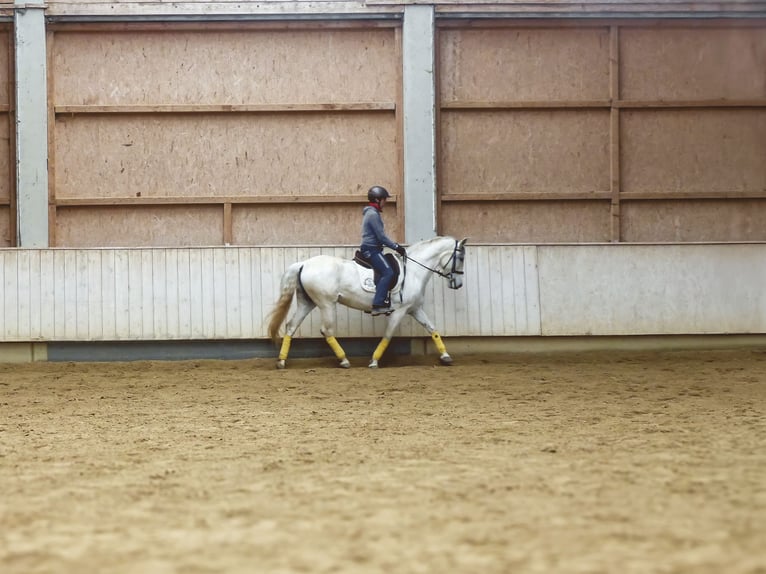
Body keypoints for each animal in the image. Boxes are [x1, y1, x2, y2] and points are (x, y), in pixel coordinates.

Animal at [267, 236, 468, 369]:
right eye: (461, 258)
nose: (458, 284)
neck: (413, 270)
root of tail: (304, 264)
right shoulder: (400, 310)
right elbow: (388, 334)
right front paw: (374, 361)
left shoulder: (414, 308)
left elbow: (432, 328)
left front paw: (446, 356)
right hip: (326, 303)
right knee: (326, 330)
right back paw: (344, 360)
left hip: (307, 302)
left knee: (291, 326)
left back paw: (281, 361)